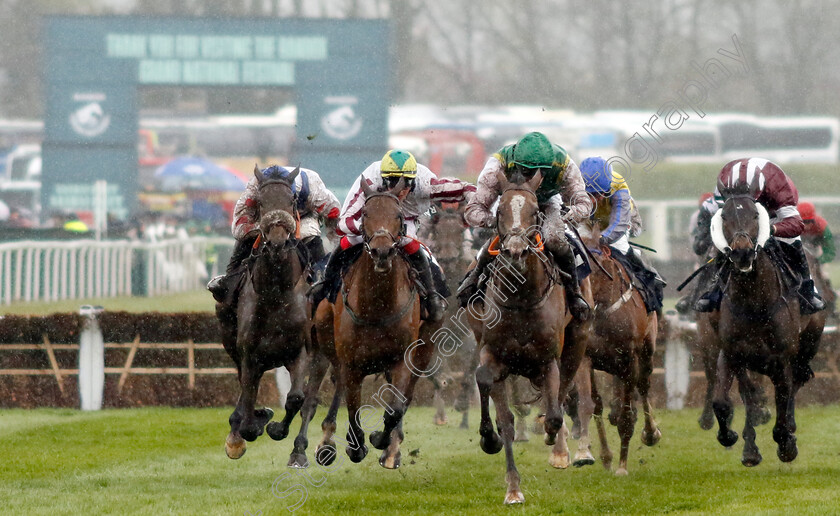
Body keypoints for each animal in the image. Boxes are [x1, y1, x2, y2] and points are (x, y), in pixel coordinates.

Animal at [220, 167, 316, 466]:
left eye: (291, 200)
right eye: (261, 203)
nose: (276, 242)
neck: (275, 294)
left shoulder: (300, 352)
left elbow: (296, 398)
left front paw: (277, 430)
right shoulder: (250, 354)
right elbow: (248, 405)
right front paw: (249, 427)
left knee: (309, 402)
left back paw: (299, 449)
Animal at [466, 172, 592, 504]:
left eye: (535, 211)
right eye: (499, 211)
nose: (515, 250)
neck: (521, 296)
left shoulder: (548, 360)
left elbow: (555, 413)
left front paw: (553, 439)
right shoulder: (493, 355)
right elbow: (498, 408)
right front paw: (510, 483)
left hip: (577, 342)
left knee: (563, 393)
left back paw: (560, 449)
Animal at [576, 220, 660, 474]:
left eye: (590, 264)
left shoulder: (629, 358)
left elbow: (626, 414)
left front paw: (622, 466)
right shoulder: (586, 357)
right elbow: (592, 404)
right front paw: (593, 454)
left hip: (646, 352)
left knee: (643, 386)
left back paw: (651, 432)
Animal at [708, 196, 828, 466]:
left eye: (755, 215)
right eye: (724, 216)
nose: (742, 252)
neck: (754, 302)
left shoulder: (781, 359)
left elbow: (782, 404)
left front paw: (786, 444)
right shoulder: (731, 353)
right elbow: (724, 401)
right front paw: (732, 438)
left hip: (808, 346)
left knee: (796, 383)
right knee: (750, 394)